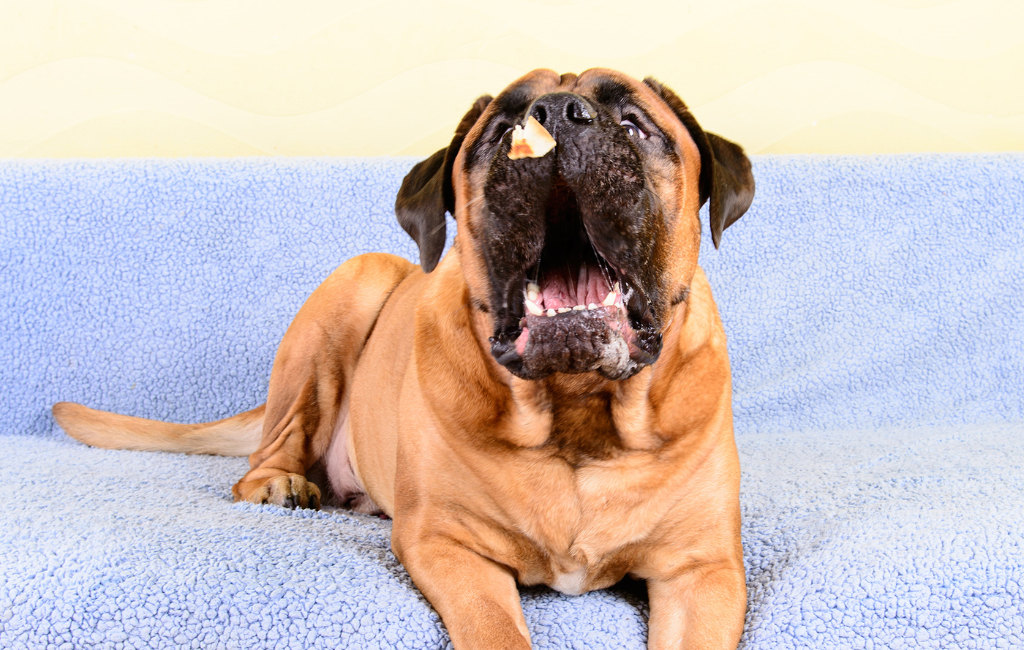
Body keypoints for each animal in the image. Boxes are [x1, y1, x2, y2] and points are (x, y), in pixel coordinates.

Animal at [58, 68, 761, 646]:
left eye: (636, 123)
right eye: (500, 129)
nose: (558, 114)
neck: (577, 416)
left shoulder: (704, 572)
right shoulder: (447, 545)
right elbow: (495, 630)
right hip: (355, 282)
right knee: (267, 449)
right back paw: (277, 483)